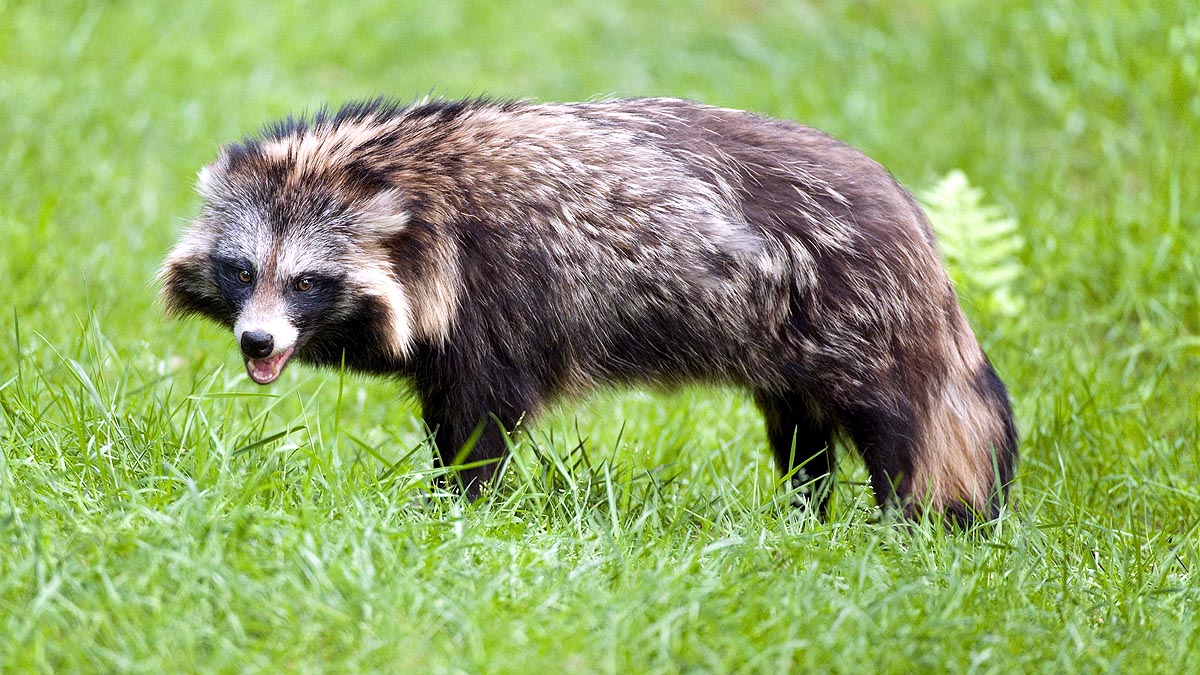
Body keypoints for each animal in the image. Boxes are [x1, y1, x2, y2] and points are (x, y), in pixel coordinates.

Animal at [159, 97, 1018, 524]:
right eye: (241, 270)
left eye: (308, 281)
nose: (257, 340)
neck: (412, 189)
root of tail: (914, 227)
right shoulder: (448, 330)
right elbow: (446, 404)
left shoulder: (496, 293)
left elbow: (479, 422)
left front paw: (455, 508)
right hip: (785, 342)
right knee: (800, 428)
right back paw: (807, 507)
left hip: (858, 316)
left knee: (899, 425)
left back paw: (897, 519)